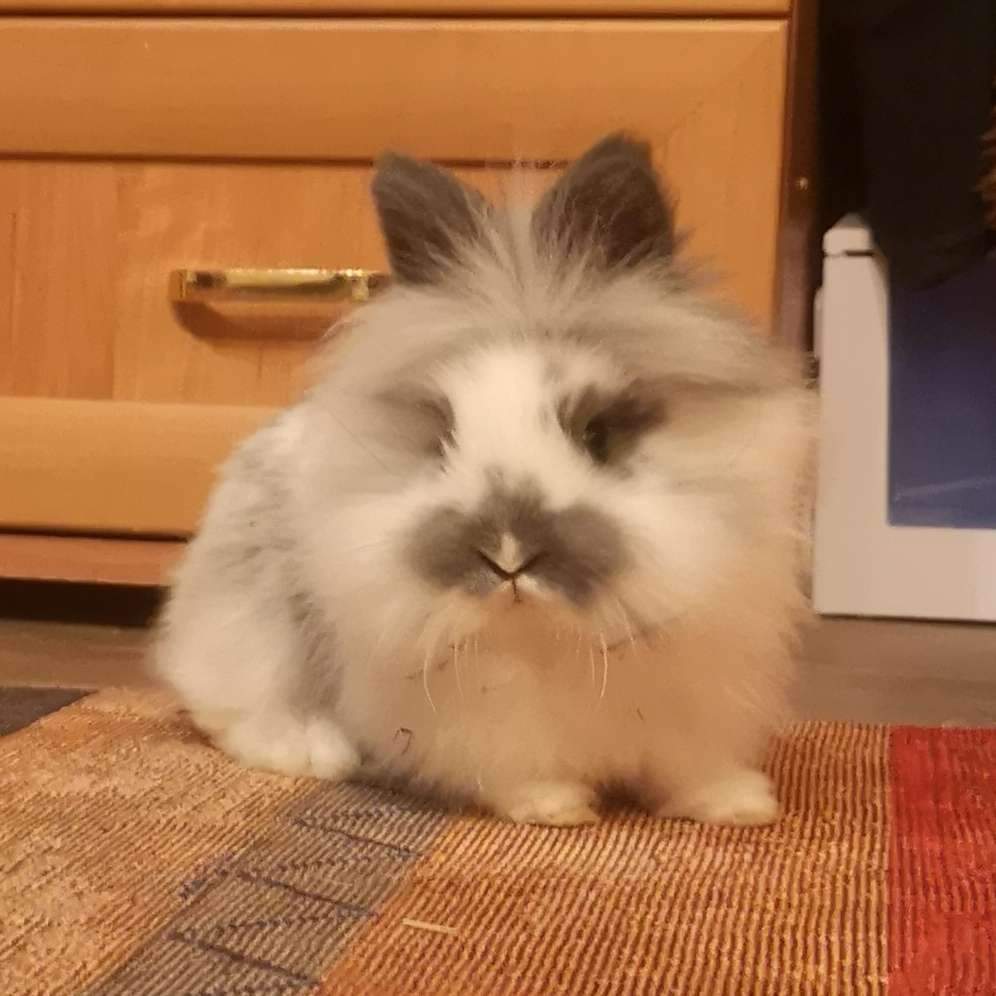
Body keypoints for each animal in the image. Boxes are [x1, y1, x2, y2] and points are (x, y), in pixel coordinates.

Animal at [154, 133, 812, 828]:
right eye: (442, 434)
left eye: (599, 433)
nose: (508, 553)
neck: (547, 638)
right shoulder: (486, 717)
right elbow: (519, 765)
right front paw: (554, 808)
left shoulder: (698, 694)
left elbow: (689, 766)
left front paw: (740, 805)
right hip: (247, 628)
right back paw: (312, 752)